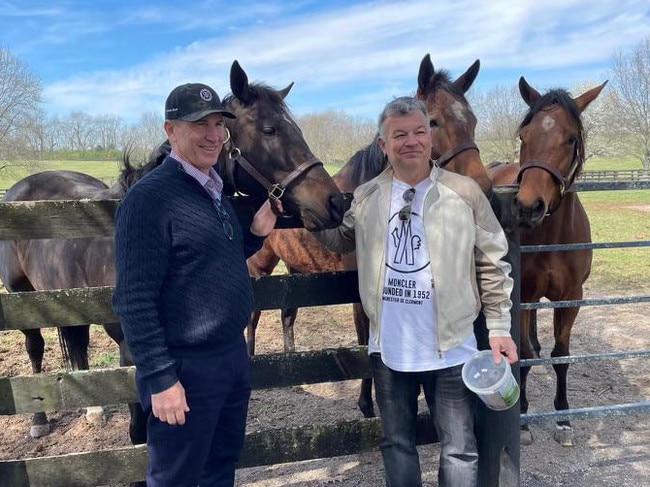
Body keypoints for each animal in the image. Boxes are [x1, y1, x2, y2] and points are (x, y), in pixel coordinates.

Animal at [244, 54, 486, 420]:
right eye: (432, 122)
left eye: (472, 121)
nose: (483, 187)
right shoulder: (359, 292)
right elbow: (364, 344)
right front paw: (367, 404)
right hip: (259, 267)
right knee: (253, 317)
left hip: (295, 270)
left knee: (287, 315)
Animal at [484, 76, 604, 446]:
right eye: (525, 136)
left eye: (571, 138)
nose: (528, 206)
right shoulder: (521, 295)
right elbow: (520, 354)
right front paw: (522, 418)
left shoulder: (571, 298)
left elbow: (561, 356)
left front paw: (563, 419)